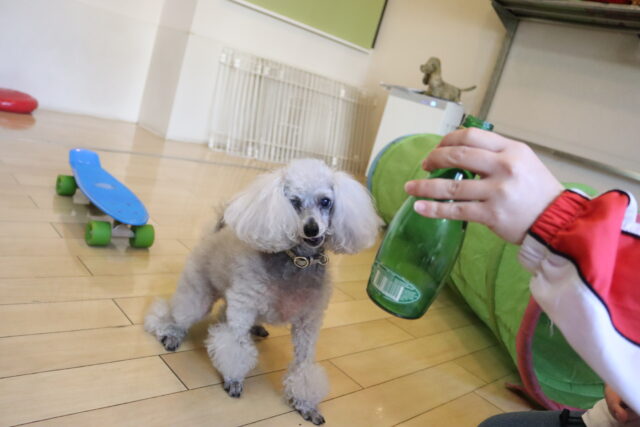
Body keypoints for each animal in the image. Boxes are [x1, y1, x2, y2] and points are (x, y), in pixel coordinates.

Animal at [144, 158, 382, 425]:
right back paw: (171, 333)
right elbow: (234, 345)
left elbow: (304, 367)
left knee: (221, 313)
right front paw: (233, 379)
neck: (297, 261)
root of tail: (218, 230)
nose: (311, 229)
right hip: (199, 295)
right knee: (173, 314)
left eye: (325, 201)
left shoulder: (308, 324)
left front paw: (305, 404)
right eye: (294, 202)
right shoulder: (243, 307)